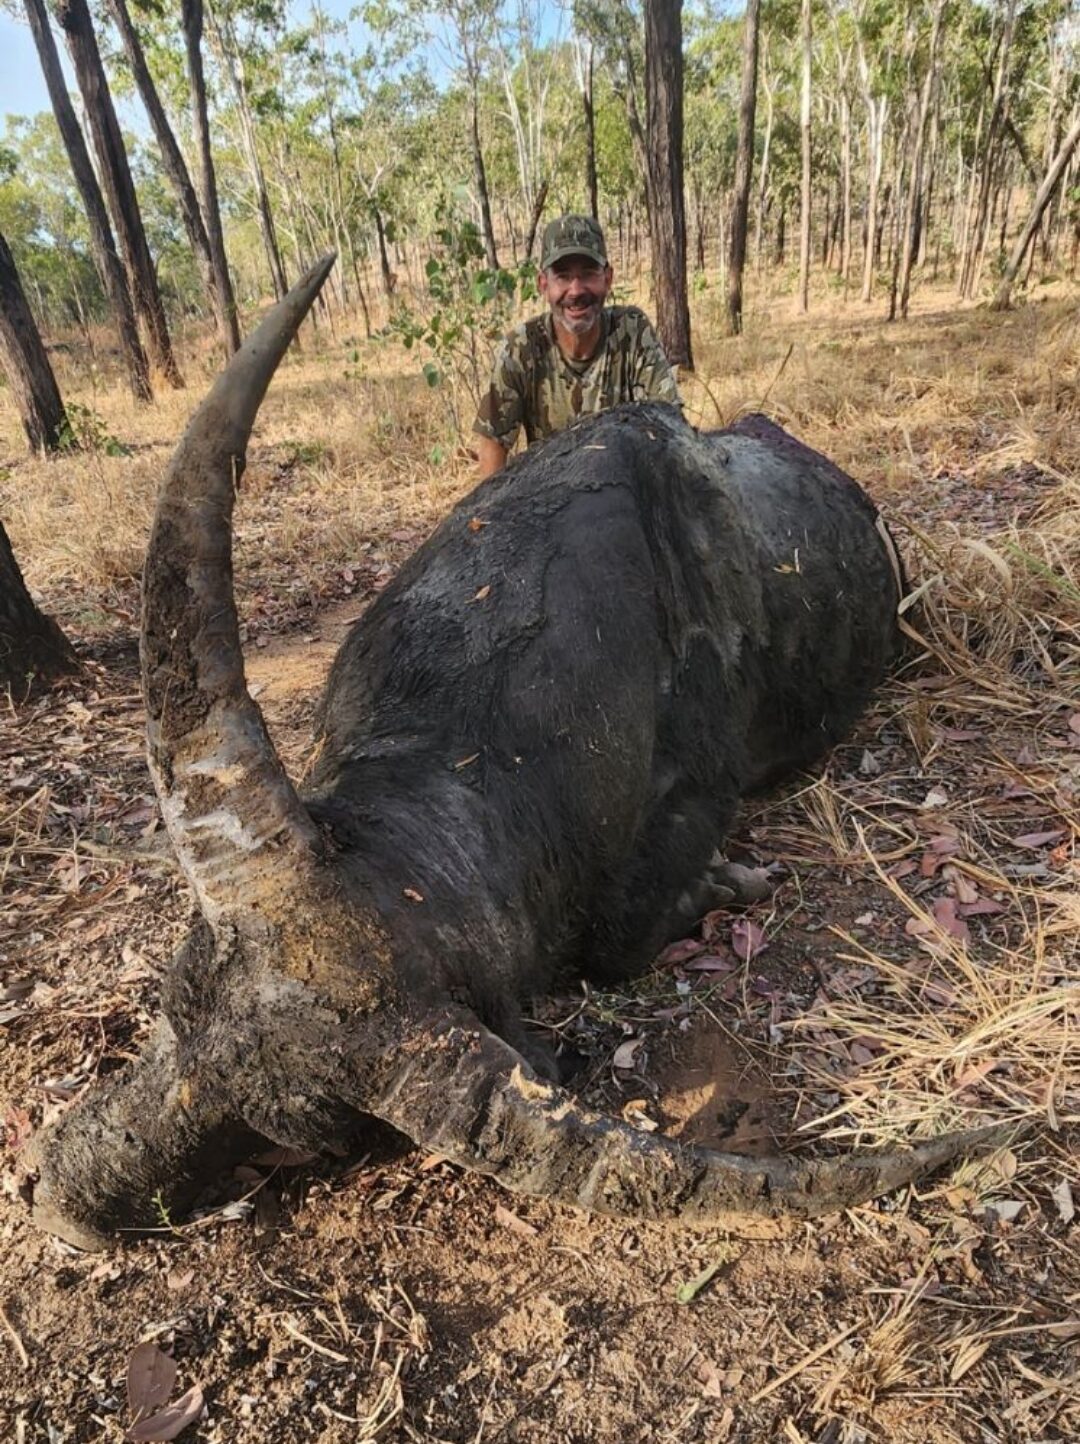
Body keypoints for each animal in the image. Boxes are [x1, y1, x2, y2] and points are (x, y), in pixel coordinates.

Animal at [29, 258, 1009, 1250]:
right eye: (172, 1003)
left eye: (311, 1130)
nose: (61, 1196)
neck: (462, 751)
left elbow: (614, 945)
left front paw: (736, 883)